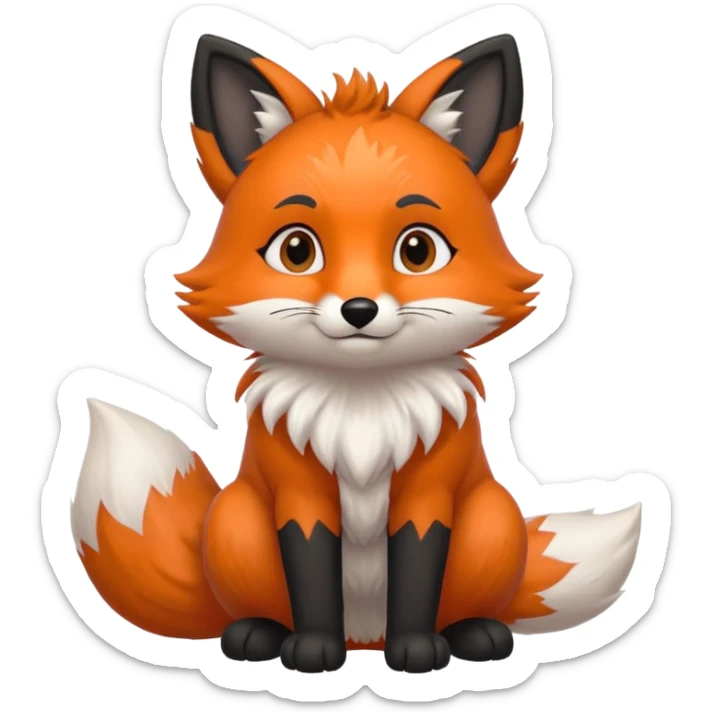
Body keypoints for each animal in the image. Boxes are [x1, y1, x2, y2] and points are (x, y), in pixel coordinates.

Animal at [69, 33, 643, 674]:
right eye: (297, 250)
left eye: (417, 250)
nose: (359, 309)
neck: (362, 408)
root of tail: (363, 637)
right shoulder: (299, 494)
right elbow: (311, 568)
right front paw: (312, 650)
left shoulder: (427, 493)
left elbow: (418, 568)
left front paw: (416, 650)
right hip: (236, 522)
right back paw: (259, 634)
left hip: (492, 520)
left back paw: (473, 634)